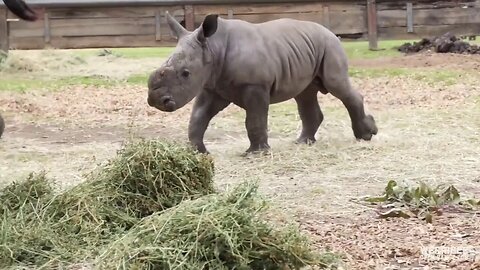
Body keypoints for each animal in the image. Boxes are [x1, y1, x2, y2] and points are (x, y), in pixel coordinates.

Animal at [148, 12, 376, 154]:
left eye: (185, 73)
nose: (156, 101)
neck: (213, 47)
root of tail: (331, 32)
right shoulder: (212, 85)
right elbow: (198, 117)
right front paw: (198, 152)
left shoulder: (255, 85)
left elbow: (254, 119)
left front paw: (255, 153)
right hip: (305, 49)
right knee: (305, 94)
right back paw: (303, 143)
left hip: (330, 46)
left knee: (336, 85)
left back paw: (366, 135)